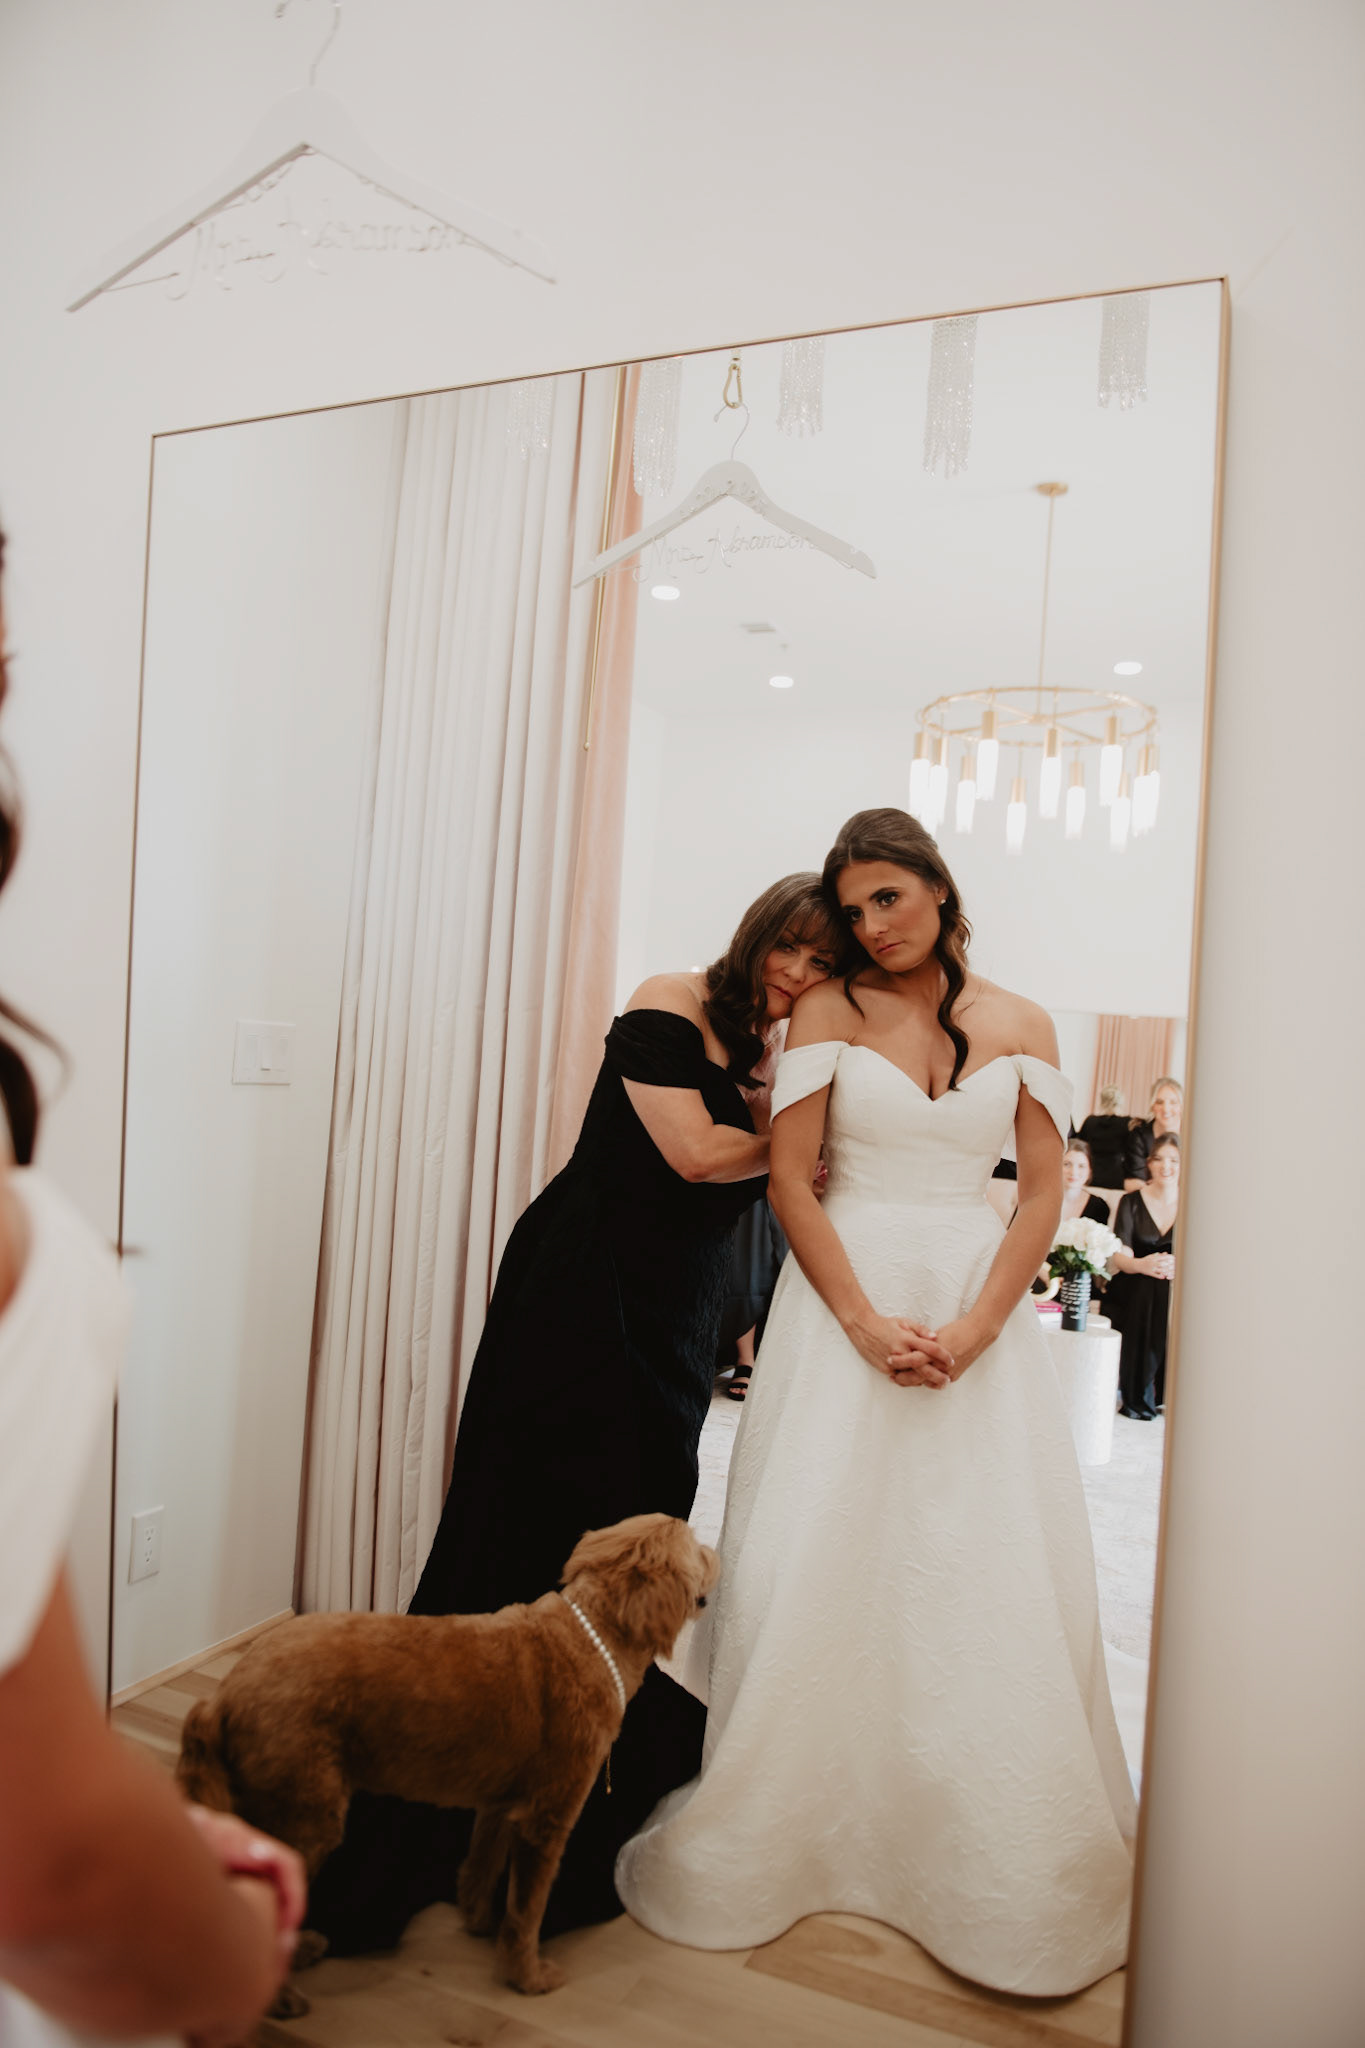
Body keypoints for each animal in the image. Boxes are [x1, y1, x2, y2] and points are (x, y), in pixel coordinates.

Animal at [176, 1512, 718, 2001]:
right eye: (696, 1546)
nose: (718, 1554)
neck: (589, 1640)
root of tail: (221, 1699)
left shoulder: (499, 1805)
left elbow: (480, 1868)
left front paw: (478, 1922)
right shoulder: (546, 1819)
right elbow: (526, 1910)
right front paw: (527, 1976)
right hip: (306, 1816)